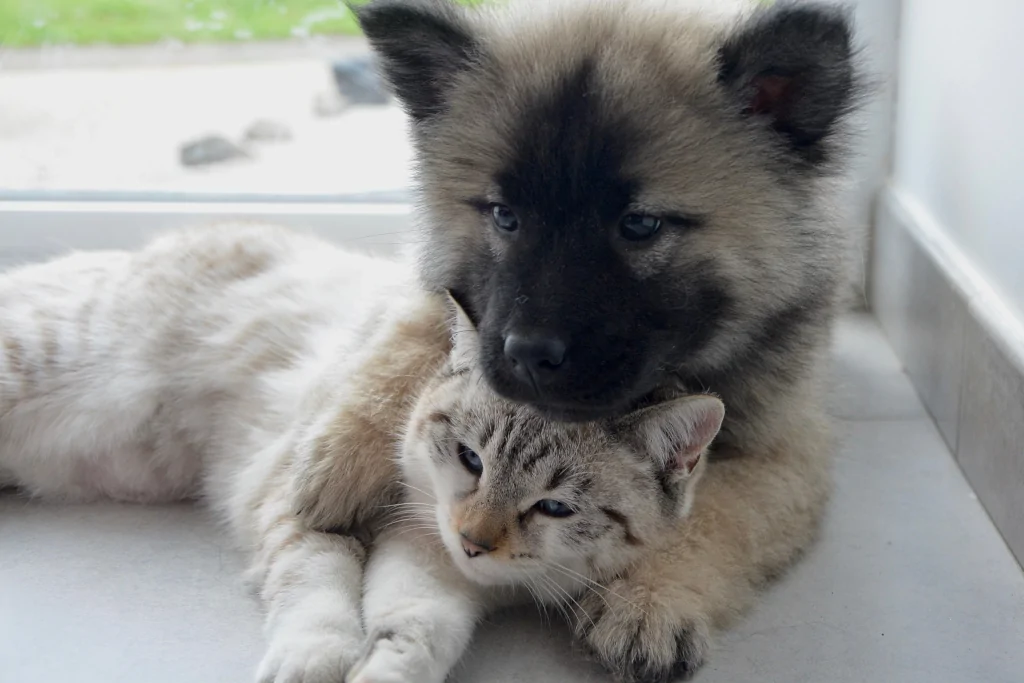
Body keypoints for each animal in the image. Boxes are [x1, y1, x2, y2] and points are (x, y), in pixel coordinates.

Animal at [0, 222, 720, 679]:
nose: (473, 540)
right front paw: (312, 664)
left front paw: (381, 668)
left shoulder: (436, 571)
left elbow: (413, 633)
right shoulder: (302, 504)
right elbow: (321, 582)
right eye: (471, 459)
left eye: (556, 508)